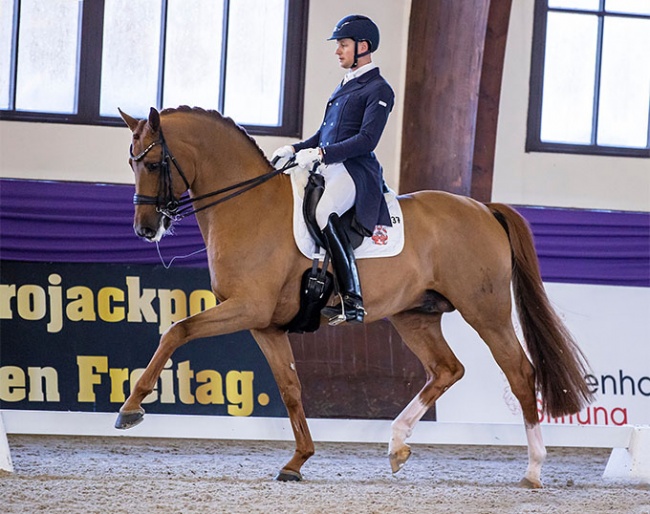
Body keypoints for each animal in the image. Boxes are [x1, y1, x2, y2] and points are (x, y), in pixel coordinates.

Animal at [114, 106, 588, 486]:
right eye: (131, 162)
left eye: (152, 163)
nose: (144, 229)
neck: (249, 205)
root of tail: (484, 208)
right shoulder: (265, 324)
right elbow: (290, 388)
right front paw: (297, 462)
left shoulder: (247, 308)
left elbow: (177, 331)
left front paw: (131, 408)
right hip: (414, 315)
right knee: (446, 369)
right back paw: (397, 445)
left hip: (486, 311)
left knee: (520, 373)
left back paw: (533, 470)